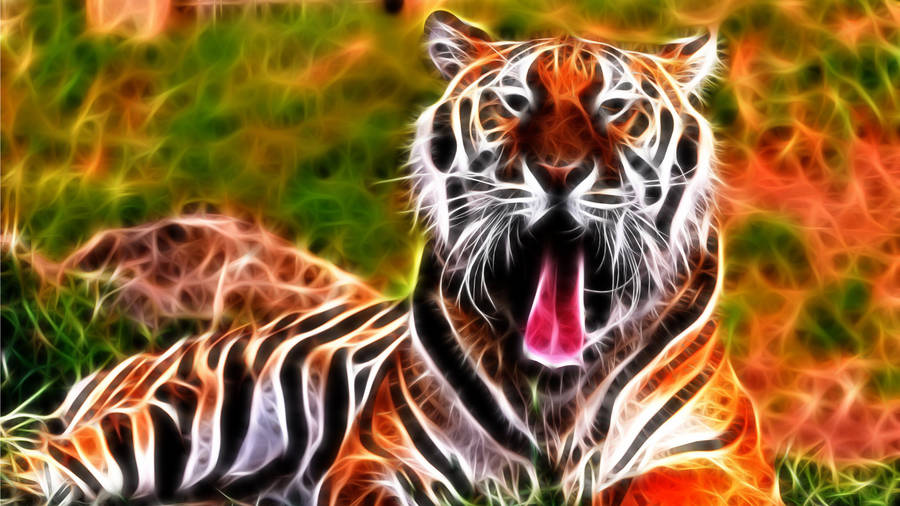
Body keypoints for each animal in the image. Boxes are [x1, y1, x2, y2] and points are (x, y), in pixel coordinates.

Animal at [2, 10, 780, 505]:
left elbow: (644, 490)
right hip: (169, 419)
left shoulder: (717, 459)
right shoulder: (381, 460)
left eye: (616, 109)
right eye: (514, 103)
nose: (559, 172)